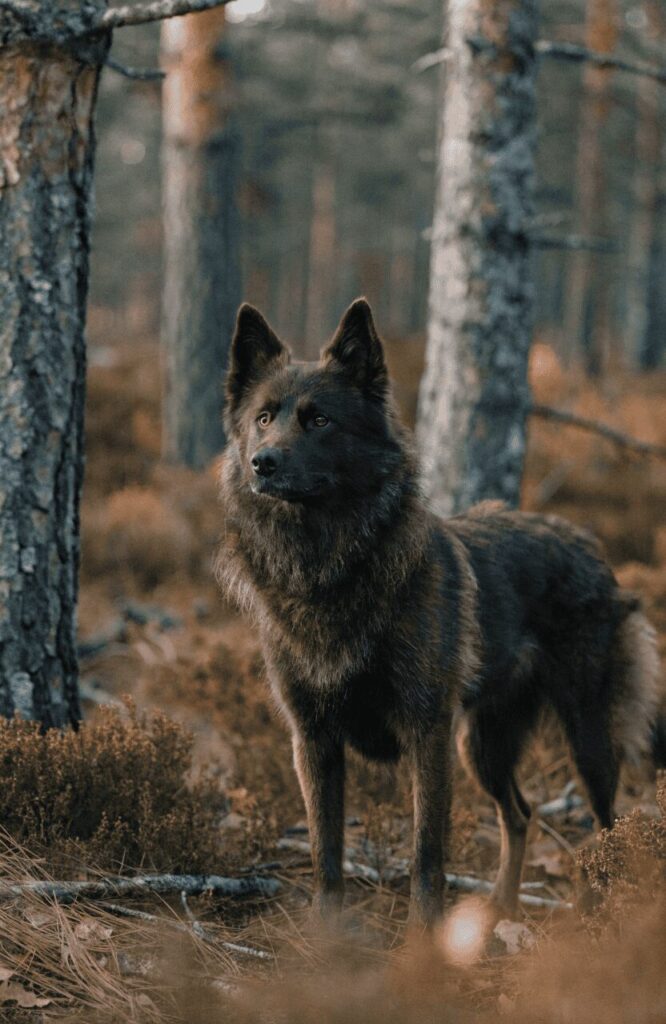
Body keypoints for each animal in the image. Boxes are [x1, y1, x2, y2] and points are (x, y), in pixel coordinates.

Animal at [217, 297, 663, 925]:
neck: (330, 564)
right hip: (482, 748)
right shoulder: (314, 740)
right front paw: (327, 940)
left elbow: (427, 857)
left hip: (587, 737)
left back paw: (596, 918)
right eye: (262, 418)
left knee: (609, 830)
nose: (263, 463)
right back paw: (501, 910)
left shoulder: (425, 733)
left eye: (320, 421)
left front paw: (422, 943)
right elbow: (325, 853)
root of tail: (589, 544)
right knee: (520, 814)